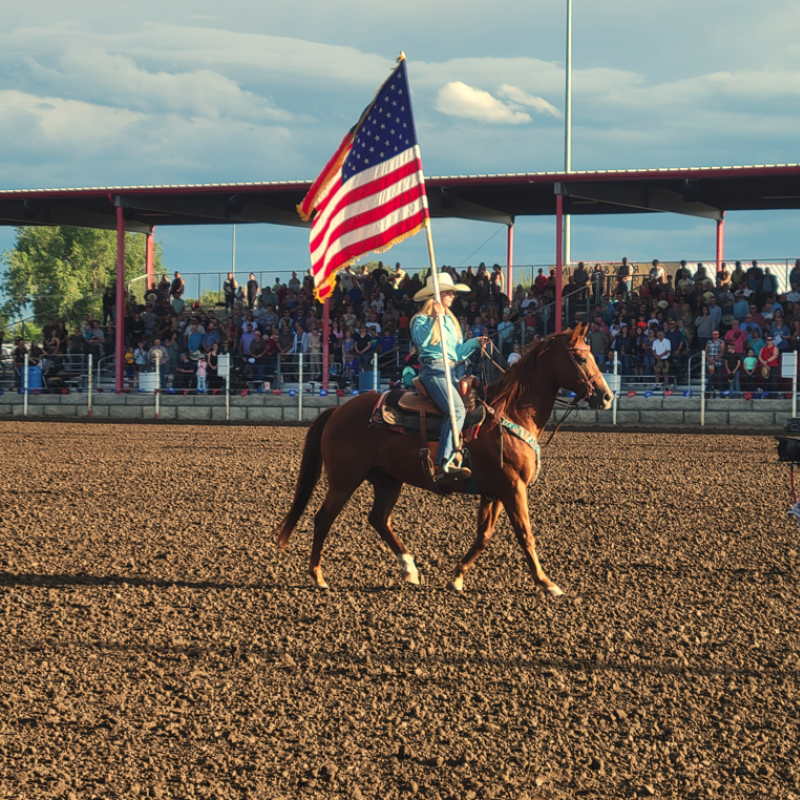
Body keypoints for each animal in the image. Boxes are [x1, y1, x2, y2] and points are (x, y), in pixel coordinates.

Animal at [276, 324, 612, 592]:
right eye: (581, 357)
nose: (607, 396)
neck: (510, 414)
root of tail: (337, 410)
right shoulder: (513, 488)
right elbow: (525, 535)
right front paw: (547, 583)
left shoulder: (494, 492)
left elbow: (483, 536)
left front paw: (457, 577)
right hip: (344, 480)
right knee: (323, 519)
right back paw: (318, 577)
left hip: (388, 481)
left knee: (379, 519)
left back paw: (410, 569)